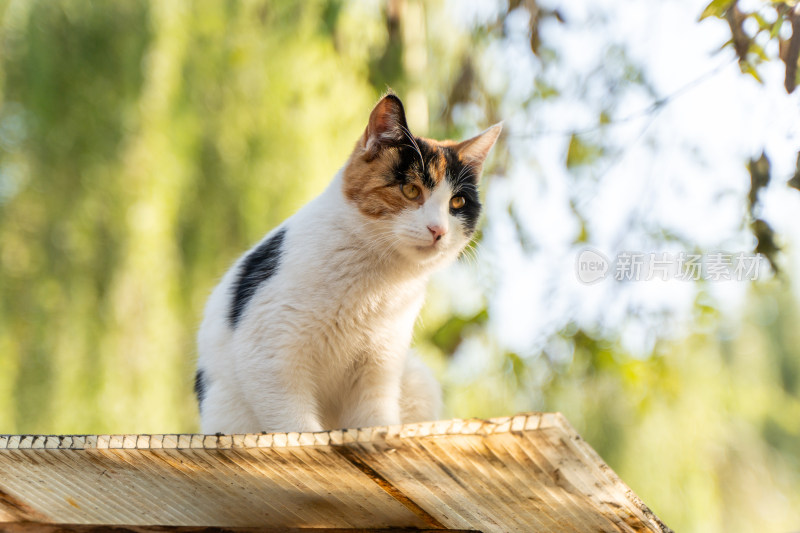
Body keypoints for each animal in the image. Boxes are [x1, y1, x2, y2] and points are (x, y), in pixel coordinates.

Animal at [195, 93, 500, 434]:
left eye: (456, 203)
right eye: (411, 190)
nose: (438, 230)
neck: (379, 280)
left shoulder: (379, 366)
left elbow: (374, 421)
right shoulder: (269, 350)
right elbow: (296, 426)